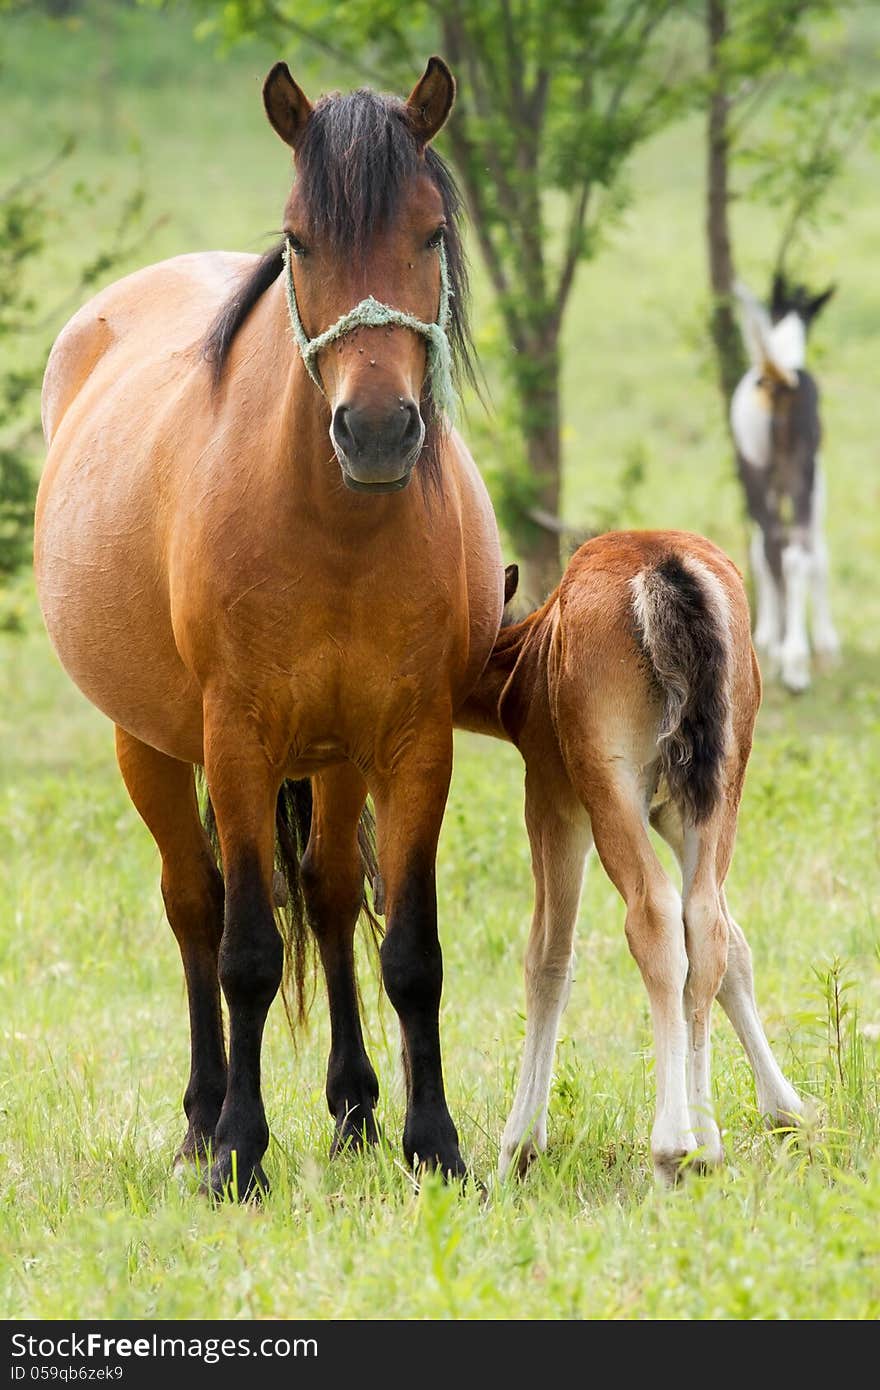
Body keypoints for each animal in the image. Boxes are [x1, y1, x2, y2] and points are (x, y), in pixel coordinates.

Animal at [35, 56, 500, 1195]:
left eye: (430, 232)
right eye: (298, 240)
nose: (375, 431)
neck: (335, 529)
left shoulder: (412, 744)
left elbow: (410, 953)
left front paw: (432, 1143)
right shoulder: (238, 743)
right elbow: (244, 953)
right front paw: (239, 1153)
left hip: (332, 759)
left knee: (329, 899)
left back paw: (355, 1110)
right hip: (153, 746)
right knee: (195, 908)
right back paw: (202, 1119)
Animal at [455, 530, 806, 1184]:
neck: (527, 662)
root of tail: (663, 564)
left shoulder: (552, 801)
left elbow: (548, 958)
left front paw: (518, 1147)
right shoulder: (671, 812)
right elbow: (734, 947)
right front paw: (786, 1112)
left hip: (609, 788)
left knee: (654, 917)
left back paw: (673, 1147)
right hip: (720, 788)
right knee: (705, 923)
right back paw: (706, 1144)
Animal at [728, 276, 839, 695]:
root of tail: (778, 378)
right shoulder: (816, 481)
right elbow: (819, 554)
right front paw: (826, 645)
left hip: (758, 474)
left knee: (778, 548)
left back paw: (785, 657)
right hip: (797, 475)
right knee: (793, 549)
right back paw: (794, 660)